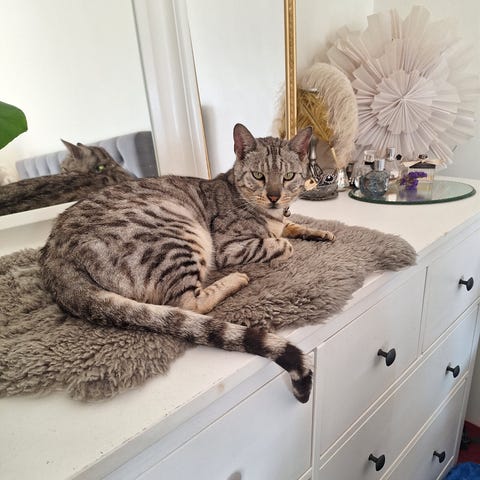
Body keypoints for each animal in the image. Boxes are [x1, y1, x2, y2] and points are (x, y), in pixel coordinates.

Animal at [39, 124, 335, 403]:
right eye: (258, 176)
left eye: (288, 177)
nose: (274, 196)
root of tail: (54, 256)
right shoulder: (229, 246)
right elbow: (282, 244)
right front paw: (285, 241)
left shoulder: (282, 221)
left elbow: (293, 227)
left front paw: (319, 232)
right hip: (179, 235)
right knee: (186, 303)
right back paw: (235, 279)